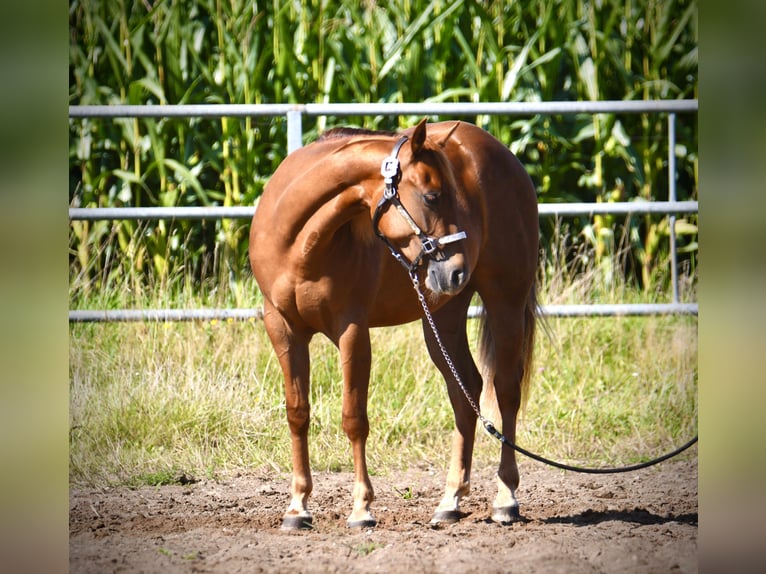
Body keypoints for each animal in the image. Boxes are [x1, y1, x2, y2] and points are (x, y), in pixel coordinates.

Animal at [249, 118, 538, 529]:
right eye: (432, 196)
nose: (457, 269)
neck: (299, 243)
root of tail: (507, 158)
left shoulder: (352, 330)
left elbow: (354, 417)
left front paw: (361, 508)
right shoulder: (282, 328)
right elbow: (297, 413)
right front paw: (298, 507)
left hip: (506, 301)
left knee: (505, 390)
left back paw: (505, 499)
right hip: (443, 316)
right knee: (465, 390)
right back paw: (450, 501)